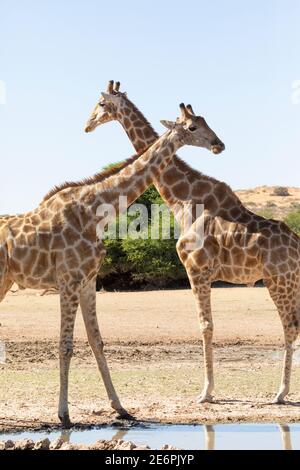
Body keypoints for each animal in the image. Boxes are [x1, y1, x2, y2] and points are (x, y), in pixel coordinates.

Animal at [0, 103, 223, 426]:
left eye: (206, 121)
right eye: (192, 127)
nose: (219, 144)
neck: (96, 210)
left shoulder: (88, 281)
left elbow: (97, 342)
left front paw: (121, 408)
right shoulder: (68, 280)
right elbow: (65, 345)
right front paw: (64, 414)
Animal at [84, 81, 300, 404]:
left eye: (100, 103)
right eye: (194, 124)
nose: (87, 124)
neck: (182, 199)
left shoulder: (196, 269)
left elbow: (206, 326)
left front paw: (206, 392)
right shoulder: (200, 271)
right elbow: (207, 326)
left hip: (279, 281)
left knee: (289, 326)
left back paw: (280, 393)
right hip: (289, 282)